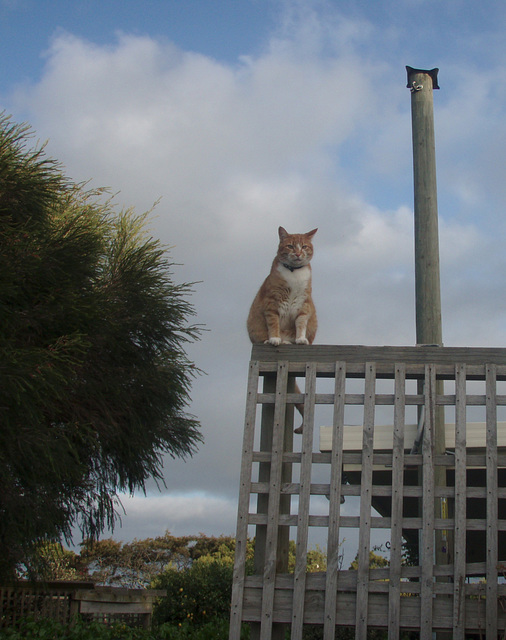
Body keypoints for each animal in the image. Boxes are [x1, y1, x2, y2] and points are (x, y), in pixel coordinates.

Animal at [246, 228, 316, 432]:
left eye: (304, 246)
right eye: (291, 246)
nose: (298, 254)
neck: (294, 274)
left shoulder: (304, 304)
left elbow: (300, 323)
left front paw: (300, 340)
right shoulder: (272, 304)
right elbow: (274, 324)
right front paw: (275, 339)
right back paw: (278, 340)